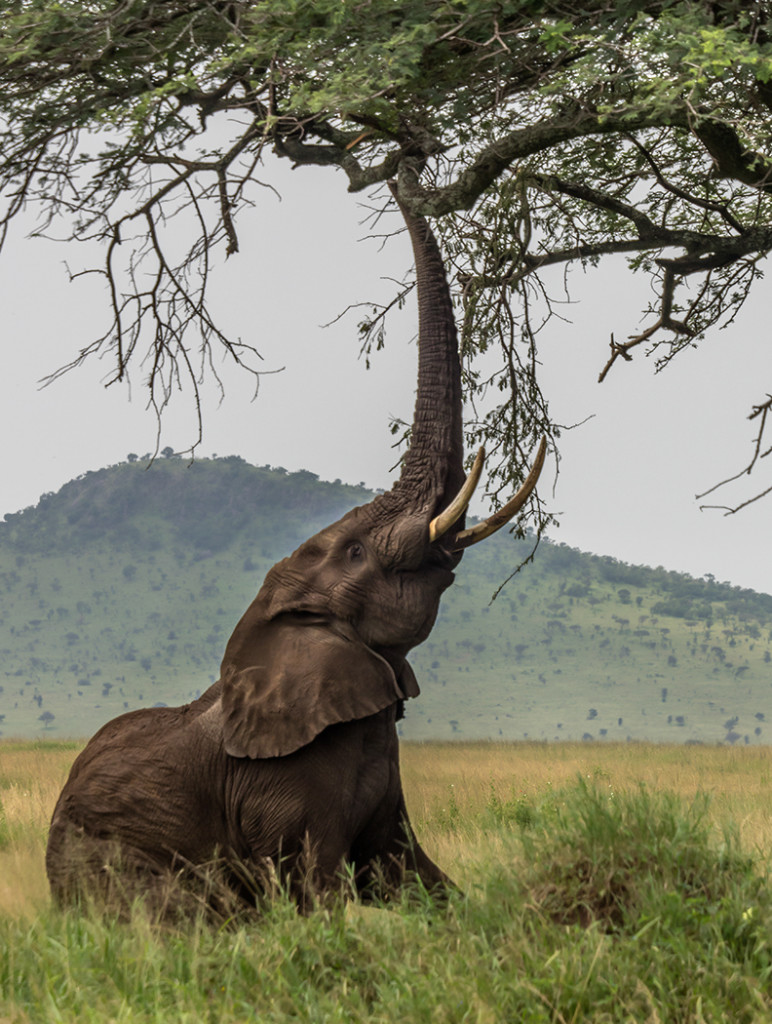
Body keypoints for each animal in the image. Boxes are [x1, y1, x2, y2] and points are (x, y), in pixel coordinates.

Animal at [45, 184, 544, 921]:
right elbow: (318, 894)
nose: (395, 168)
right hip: (109, 860)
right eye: (358, 551)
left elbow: (410, 875)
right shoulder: (278, 786)